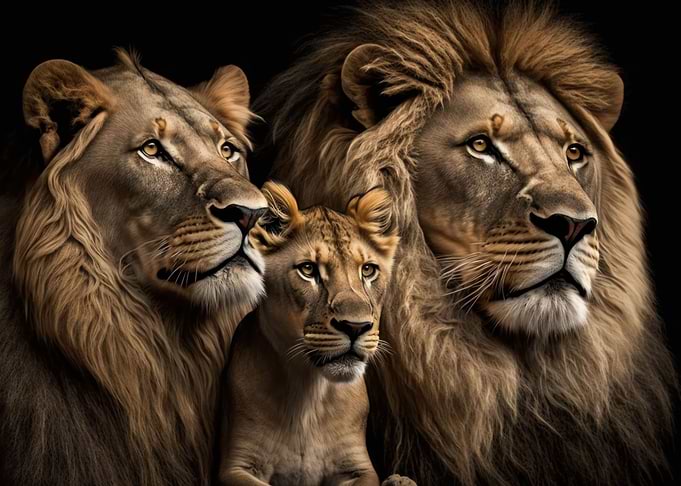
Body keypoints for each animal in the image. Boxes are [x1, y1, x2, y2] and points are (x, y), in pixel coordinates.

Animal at [219, 182, 412, 486]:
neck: (309, 397)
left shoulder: (360, 467)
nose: (356, 327)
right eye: (308, 269)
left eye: (368, 270)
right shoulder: (236, 466)